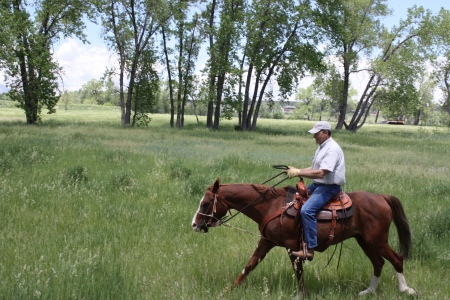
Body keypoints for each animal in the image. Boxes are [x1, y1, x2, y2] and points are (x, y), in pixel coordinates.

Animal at [192, 178, 416, 296]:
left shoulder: (293, 246)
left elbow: (298, 271)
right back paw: (368, 291)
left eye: (206, 203)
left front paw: (302, 295)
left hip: (377, 240)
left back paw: (405, 289)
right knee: (378, 263)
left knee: (396, 259)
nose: (195, 224)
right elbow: (249, 265)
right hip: (365, 241)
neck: (271, 206)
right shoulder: (267, 241)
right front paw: (227, 290)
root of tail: (382, 198)